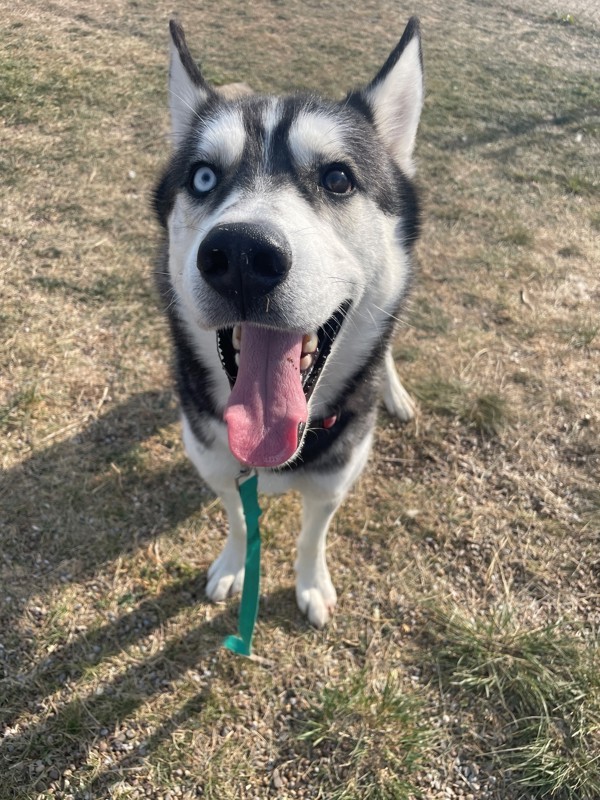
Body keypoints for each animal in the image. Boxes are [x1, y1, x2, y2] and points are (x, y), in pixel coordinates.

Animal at [156, 18, 426, 628]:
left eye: (338, 179)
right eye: (203, 177)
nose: (241, 255)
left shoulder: (333, 483)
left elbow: (312, 536)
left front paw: (311, 585)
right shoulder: (216, 465)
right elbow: (238, 519)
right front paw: (234, 564)